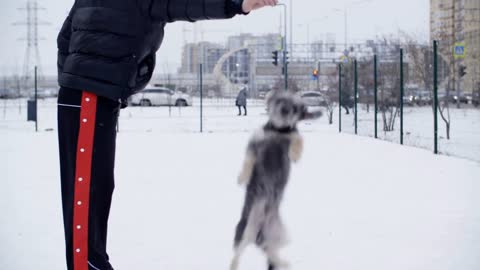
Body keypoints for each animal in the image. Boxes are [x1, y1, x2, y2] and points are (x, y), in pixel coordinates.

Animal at [230, 90, 322, 270]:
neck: (279, 131)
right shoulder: (254, 143)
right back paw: (234, 265)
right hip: (244, 232)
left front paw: (295, 153)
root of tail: (260, 232)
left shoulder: (292, 135)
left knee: (269, 250)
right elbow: (248, 160)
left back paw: (282, 262)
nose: (285, 110)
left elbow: (297, 137)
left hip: (279, 235)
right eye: (280, 100)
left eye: (295, 107)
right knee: (238, 255)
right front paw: (242, 177)